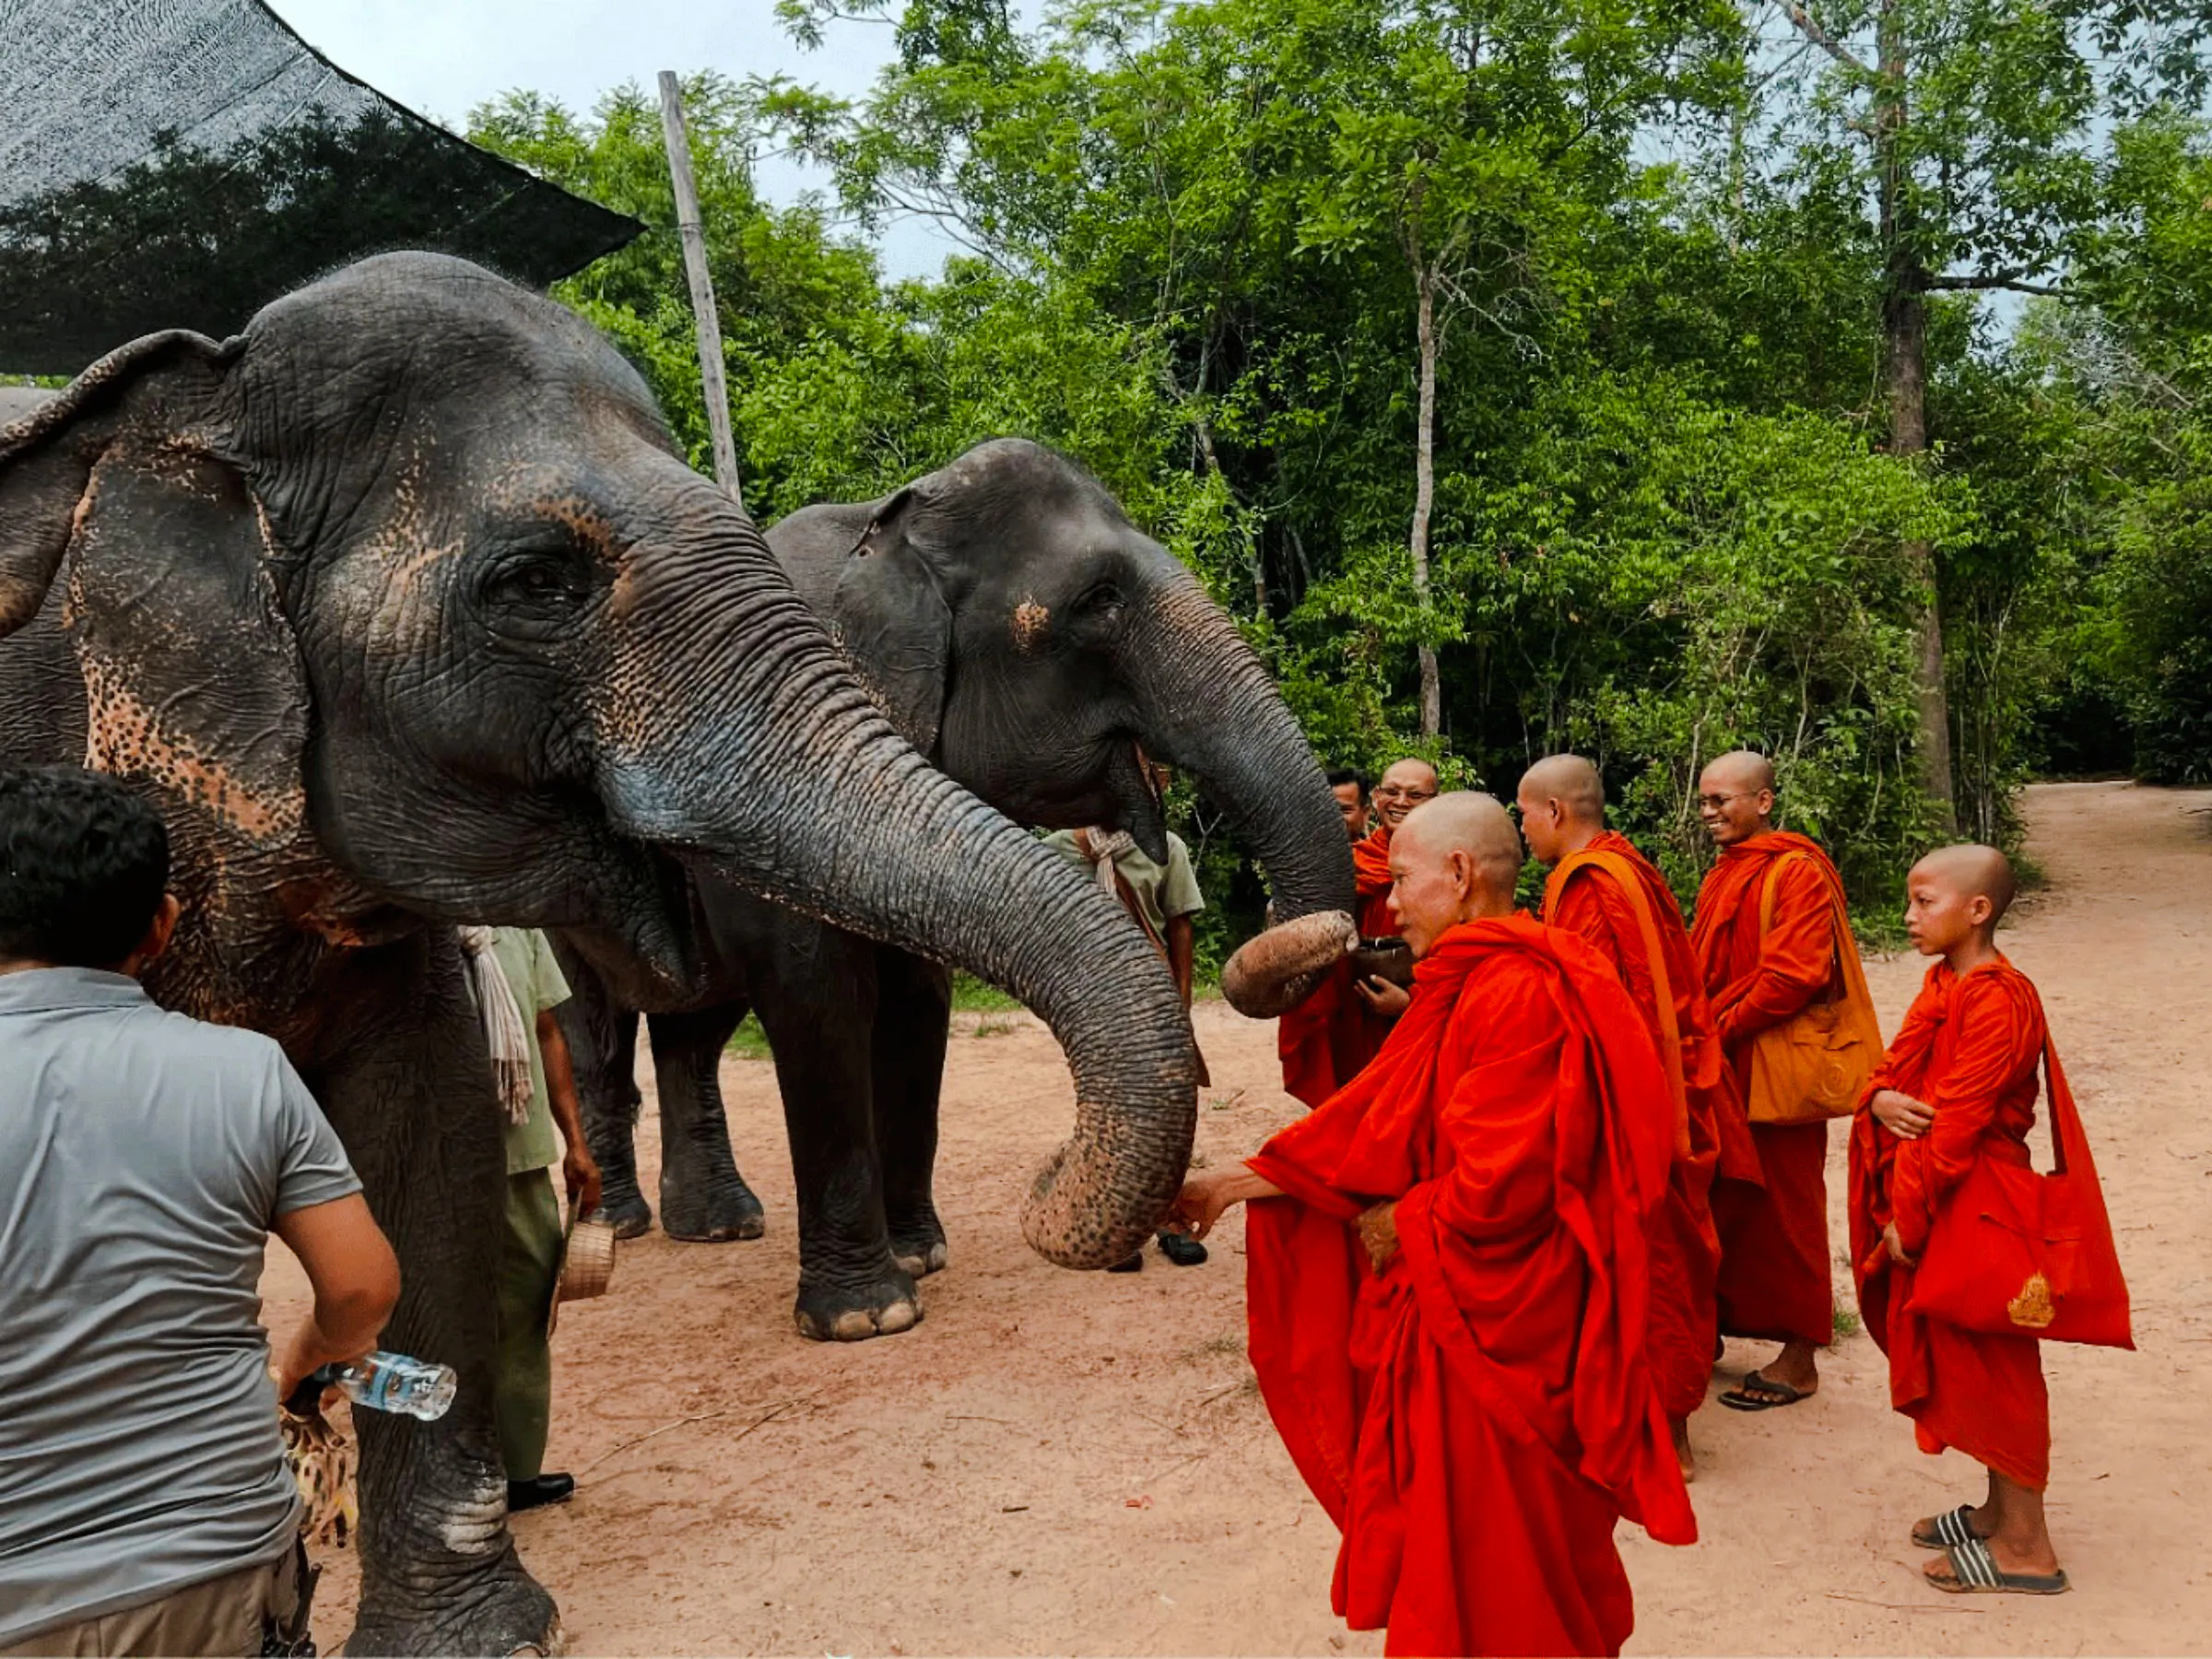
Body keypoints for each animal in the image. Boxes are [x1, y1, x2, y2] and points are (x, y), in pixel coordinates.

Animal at [558, 438, 1357, 1341]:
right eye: (1099, 600)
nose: (1050, 1168)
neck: (888, 522)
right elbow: (817, 998)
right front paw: (866, 1319)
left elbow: (919, 1001)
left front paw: (920, 1259)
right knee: (596, 1029)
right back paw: (622, 1224)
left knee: (693, 1029)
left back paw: (721, 1226)